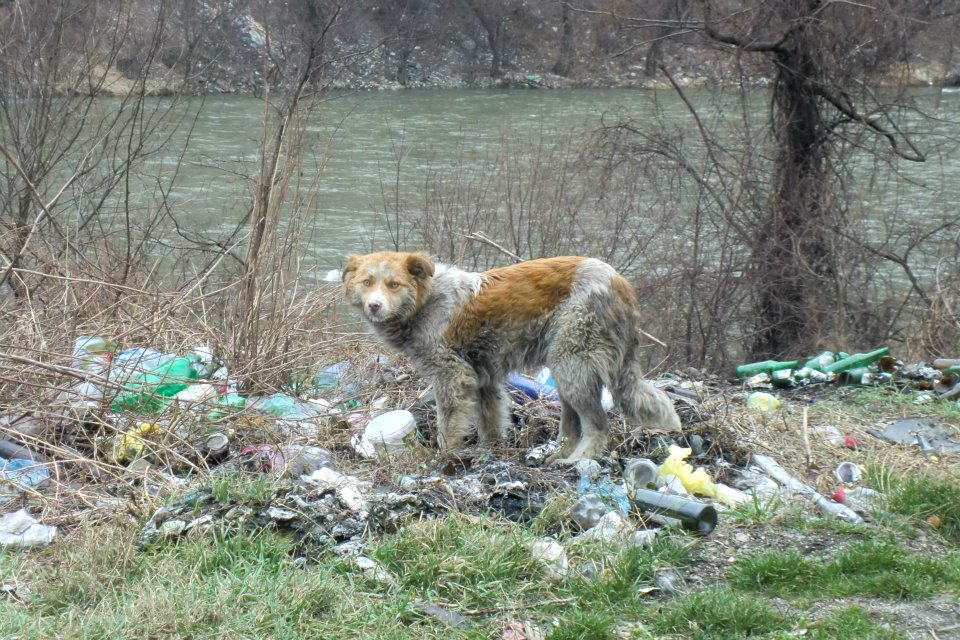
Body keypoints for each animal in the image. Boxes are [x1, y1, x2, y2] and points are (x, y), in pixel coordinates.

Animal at [342, 252, 680, 462]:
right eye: (367, 282)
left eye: (394, 284)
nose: (374, 306)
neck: (425, 301)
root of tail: (619, 282)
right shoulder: (483, 378)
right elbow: (490, 419)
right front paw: (490, 450)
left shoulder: (452, 375)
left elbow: (448, 422)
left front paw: (445, 455)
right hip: (566, 368)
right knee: (572, 425)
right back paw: (558, 455)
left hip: (572, 365)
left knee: (598, 426)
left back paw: (577, 460)